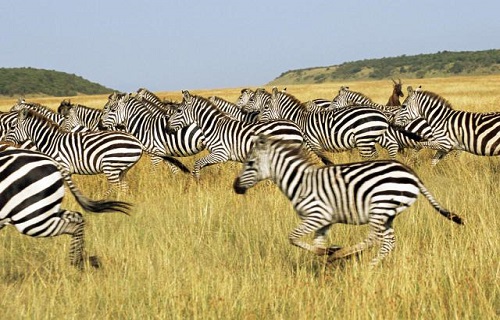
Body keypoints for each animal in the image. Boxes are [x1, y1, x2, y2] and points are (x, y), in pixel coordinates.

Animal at [0, 149, 131, 268]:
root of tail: (51, 160)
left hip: (31, 216)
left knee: (73, 224)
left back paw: (76, 262)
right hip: (45, 208)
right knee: (78, 217)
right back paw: (80, 260)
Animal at [4, 109, 146, 195]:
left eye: (12, 127)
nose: (4, 142)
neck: (51, 141)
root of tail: (136, 141)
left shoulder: (63, 167)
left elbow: (65, 189)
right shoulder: (66, 170)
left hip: (111, 166)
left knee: (118, 188)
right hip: (122, 169)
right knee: (124, 188)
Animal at [166, 91, 310, 179]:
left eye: (178, 111)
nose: (167, 128)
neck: (213, 126)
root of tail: (296, 127)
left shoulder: (221, 154)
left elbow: (197, 163)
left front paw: (196, 182)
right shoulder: (218, 155)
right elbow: (201, 165)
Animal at [234, 136, 464, 266]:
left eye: (250, 162)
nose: (235, 187)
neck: (299, 181)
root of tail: (411, 172)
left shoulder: (317, 216)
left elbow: (292, 237)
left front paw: (331, 253)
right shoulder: (324, 223)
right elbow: (315, 245)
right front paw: (323, 262)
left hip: (379, 207)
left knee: (374, 238)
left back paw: (346, 256)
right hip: (388, 214)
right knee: (388, 243)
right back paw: (370, 267)